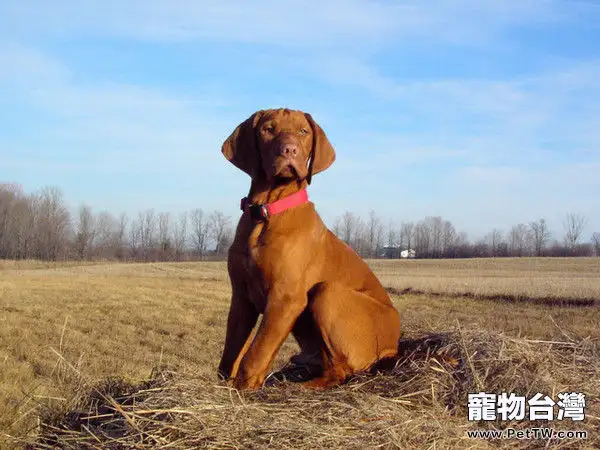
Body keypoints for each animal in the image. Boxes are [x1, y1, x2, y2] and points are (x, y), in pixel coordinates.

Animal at [218, 109, 400, 390]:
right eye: (268, 129)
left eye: (304, 132)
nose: (289, 150)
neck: (266, 213)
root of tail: (396, 346)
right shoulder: (241, 296)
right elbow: (231, 353)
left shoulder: (285, 297)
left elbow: (255, 354)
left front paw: (244, 388)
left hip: (329, 292)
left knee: (341, 370)